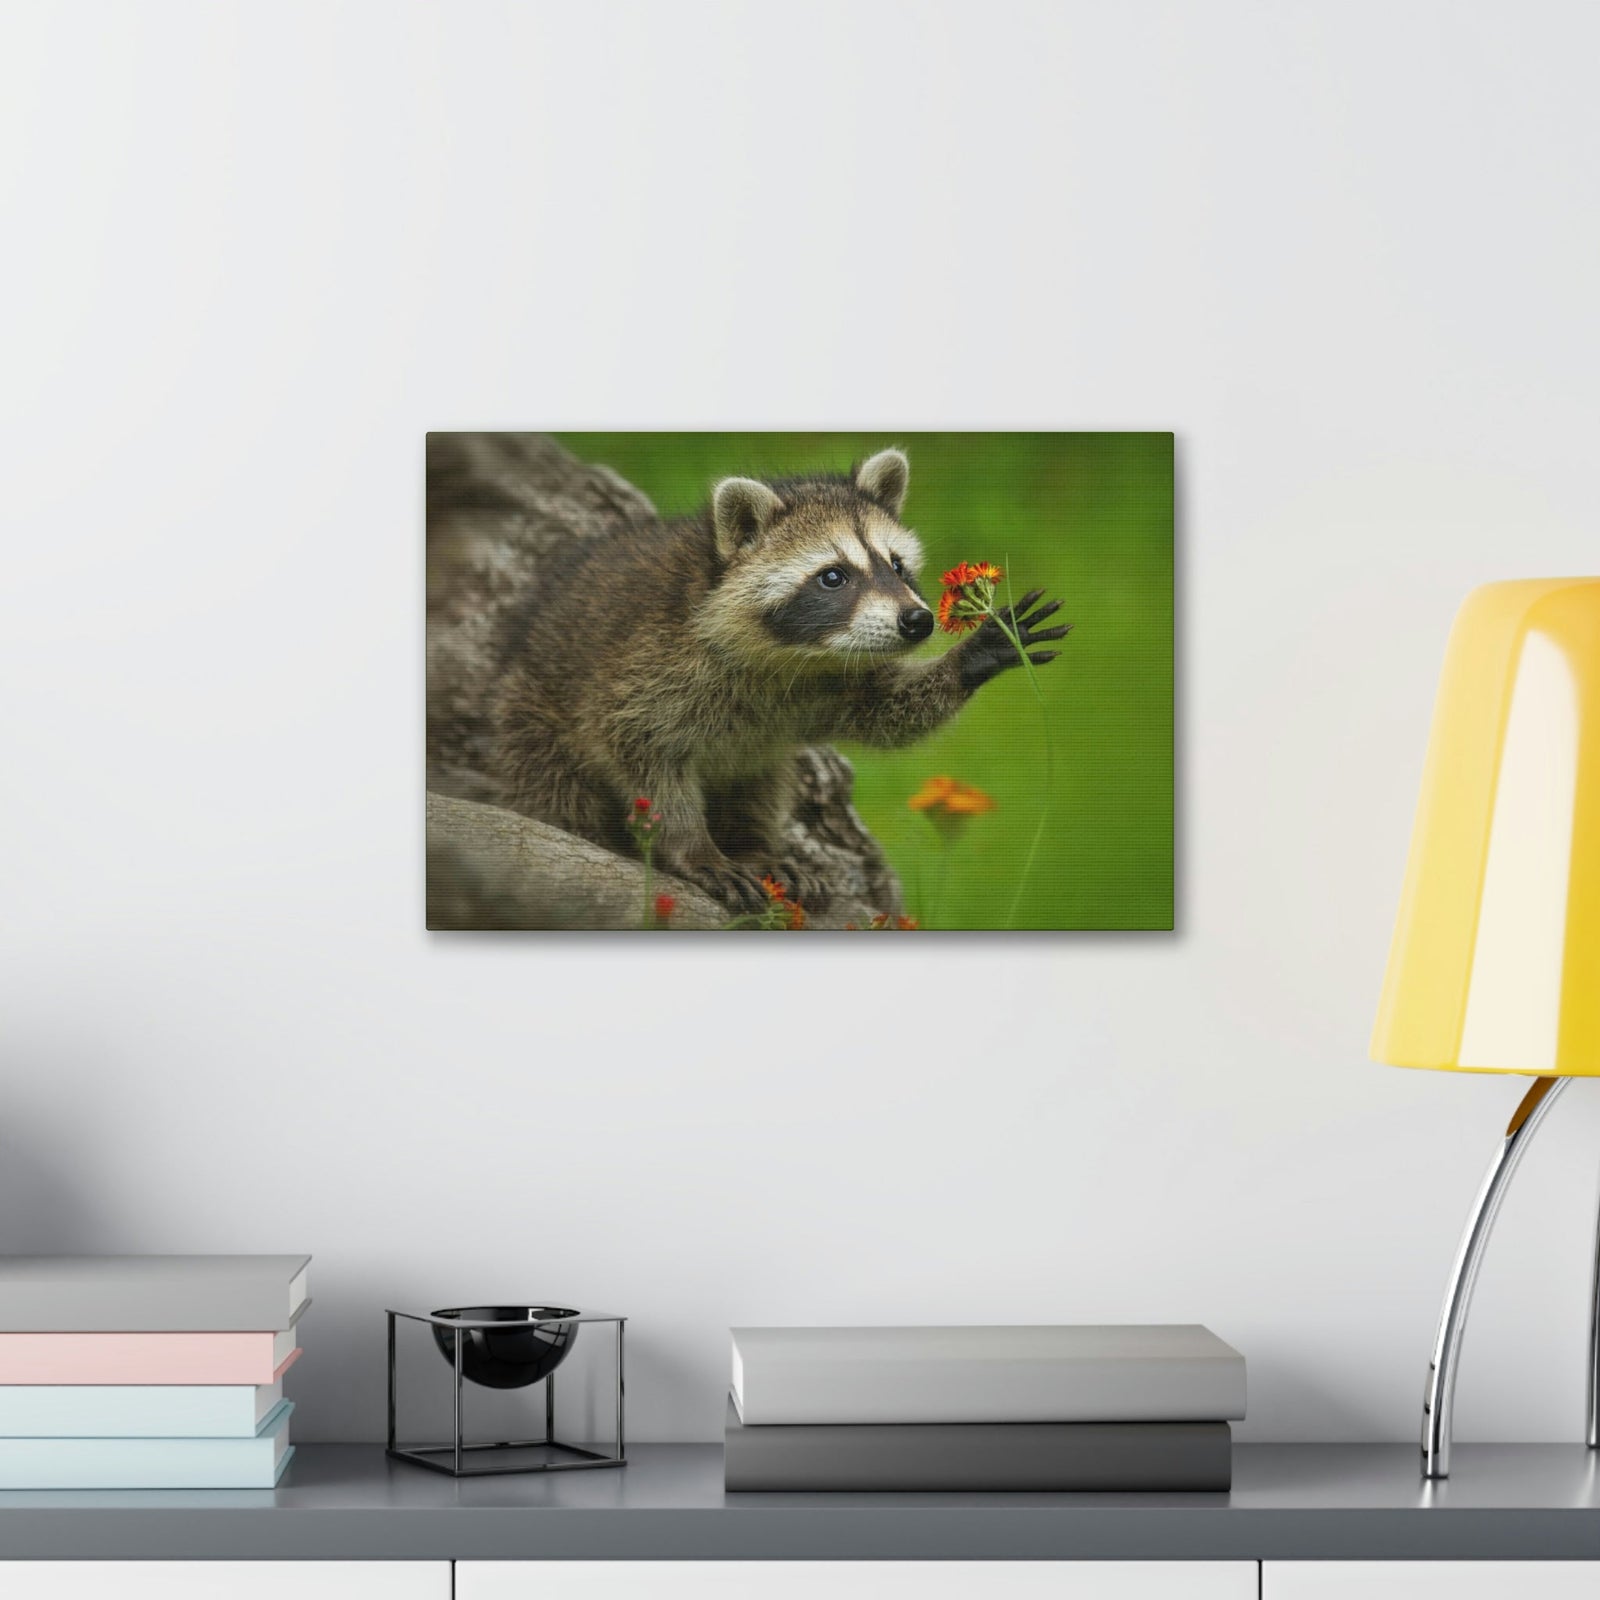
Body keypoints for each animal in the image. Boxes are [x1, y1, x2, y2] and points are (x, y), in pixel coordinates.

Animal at [492, 448, 1067, 914]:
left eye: (897, 566)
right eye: (833, 576)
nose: (918, 622)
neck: (792, 658)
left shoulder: (830, 682)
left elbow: (887, 710)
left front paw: (973, 655)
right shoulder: (645, 671)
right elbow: (645, 759)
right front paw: (691, 846)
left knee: (760, 781)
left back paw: (754, 846)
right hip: (531, 721)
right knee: (560, 793)